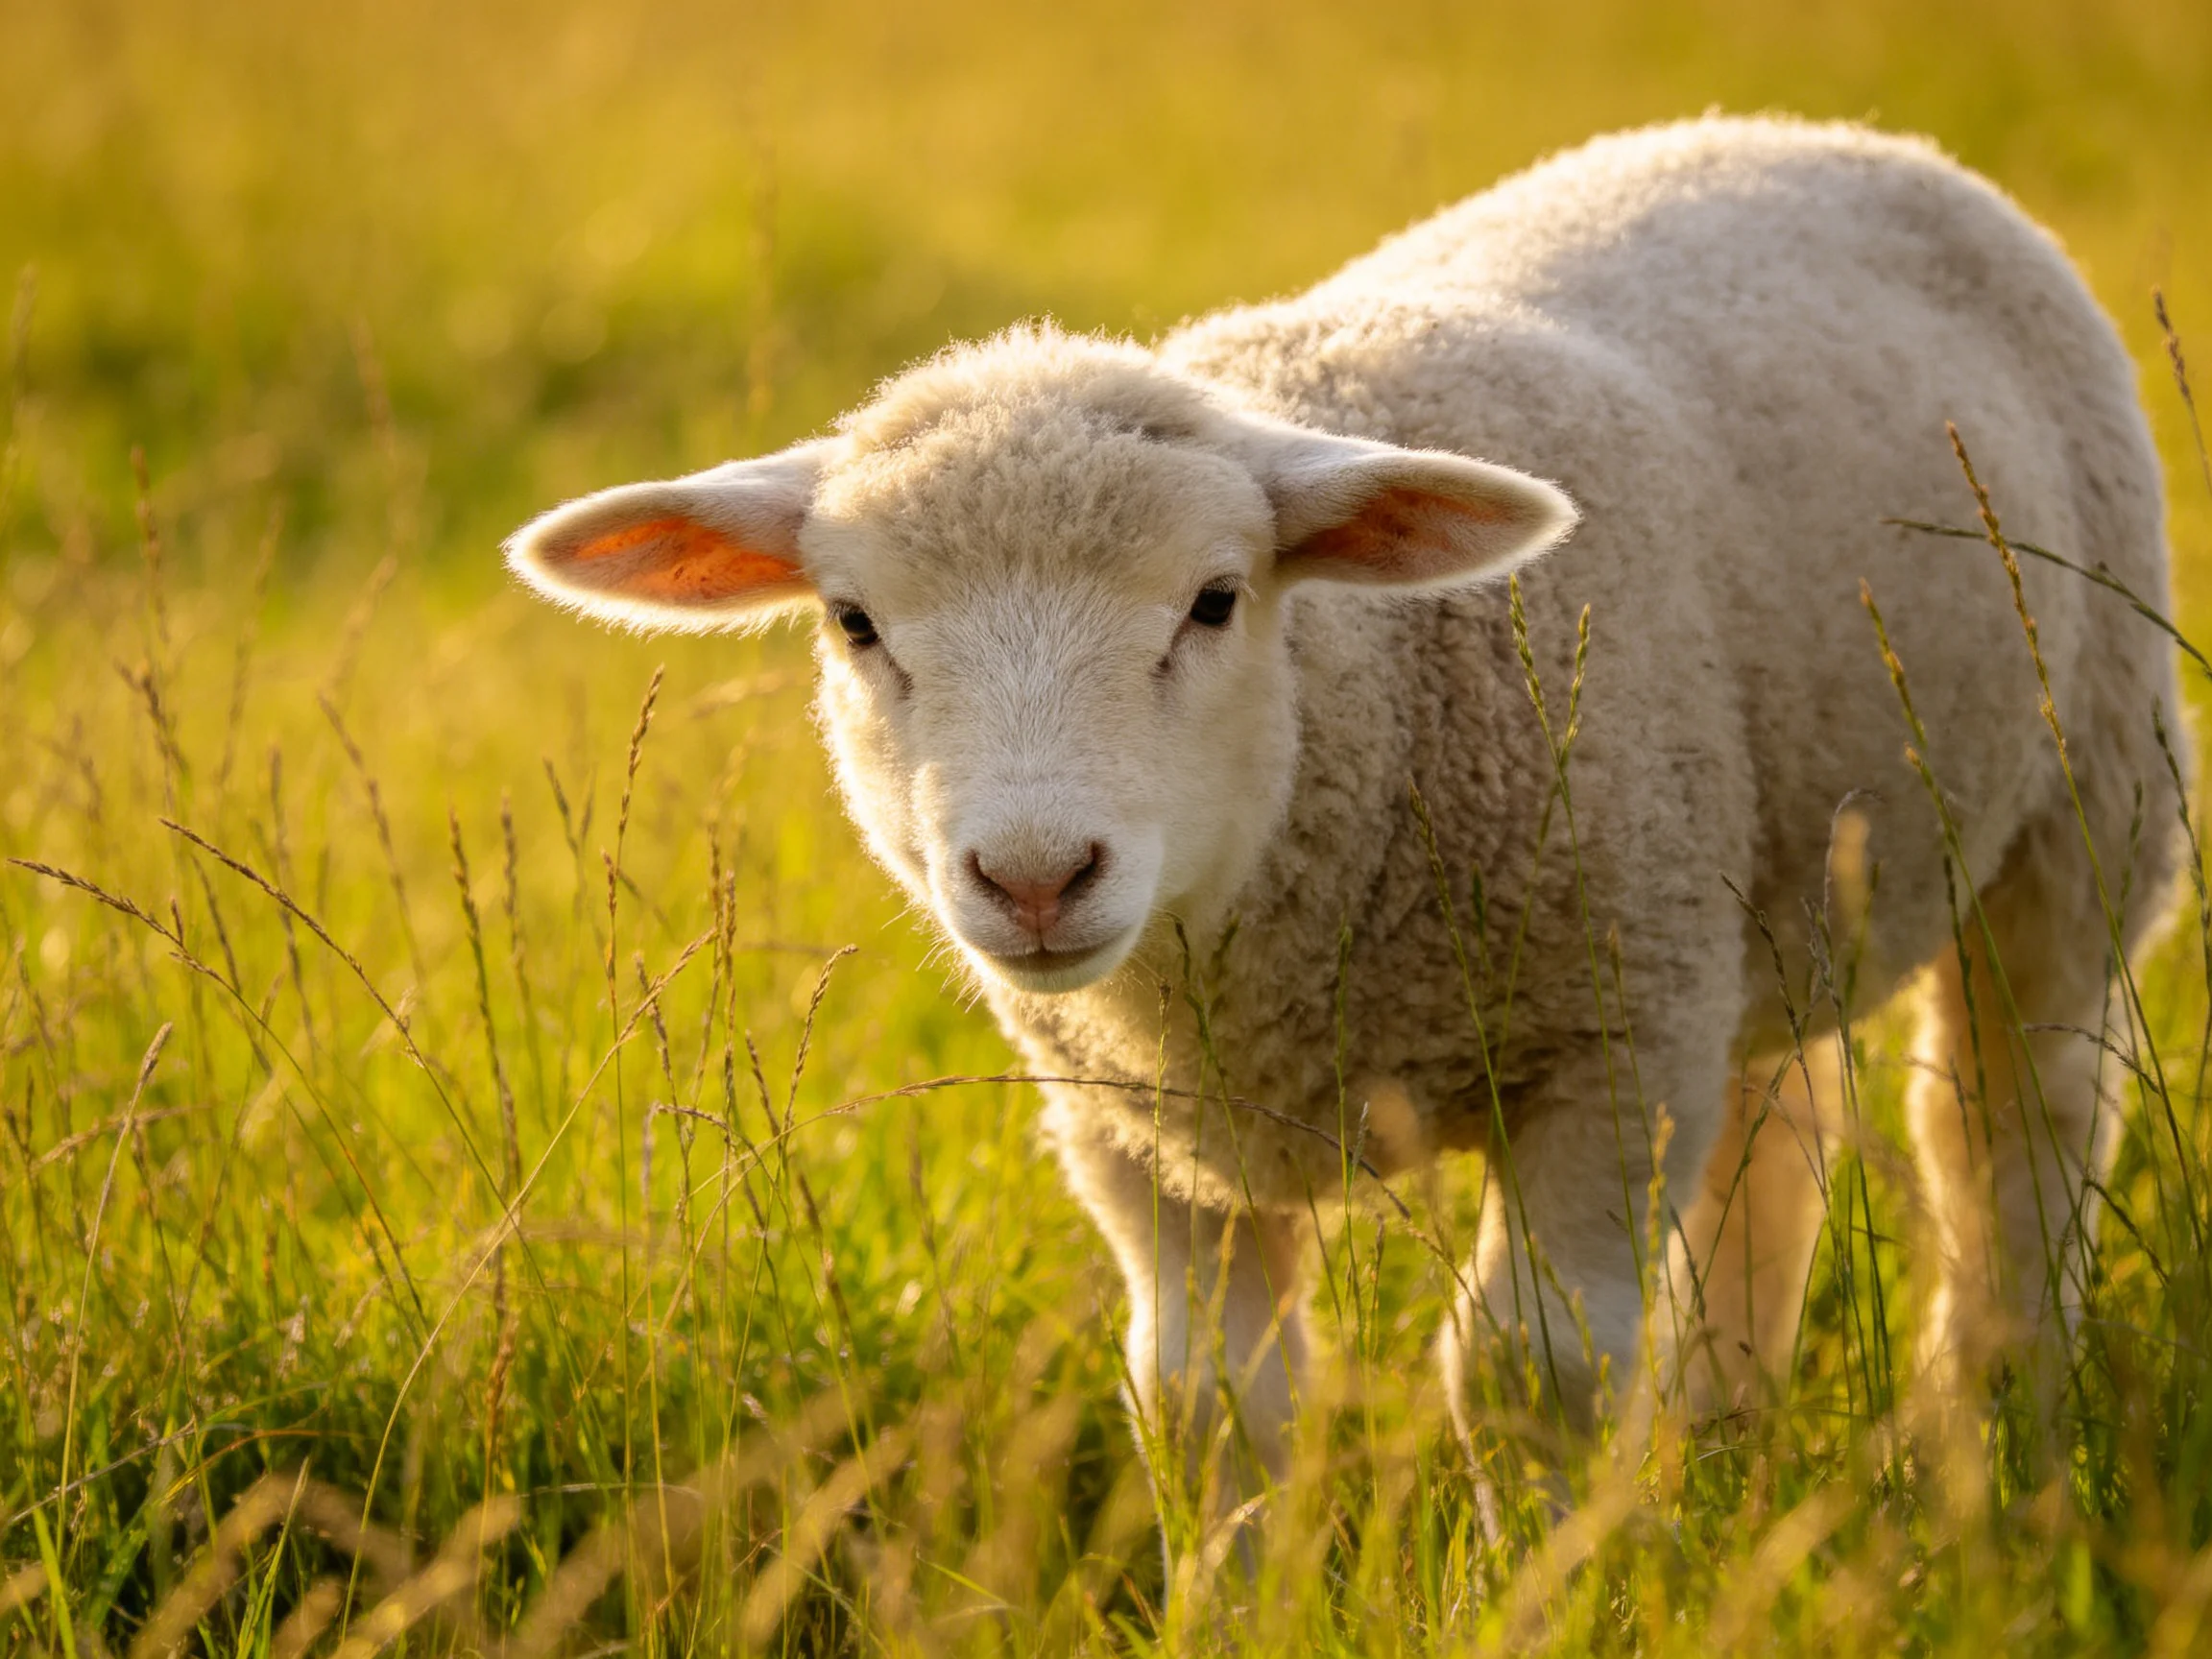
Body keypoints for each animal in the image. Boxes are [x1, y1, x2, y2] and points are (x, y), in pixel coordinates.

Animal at [505, 116, 2184, 1508]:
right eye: (854, 623)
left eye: (1216, 600)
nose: (1037, 878)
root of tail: (1818, 128)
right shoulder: (1130, 1123)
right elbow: (1200, 1406)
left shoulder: (1603, 1036)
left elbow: (1527, 1377)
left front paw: (1542, 1591)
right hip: (1751, 872)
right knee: (1777, 1139)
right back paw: (1727, 1437)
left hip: (2083, 807)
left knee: (2012, 1131)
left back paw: (1993, 1451)